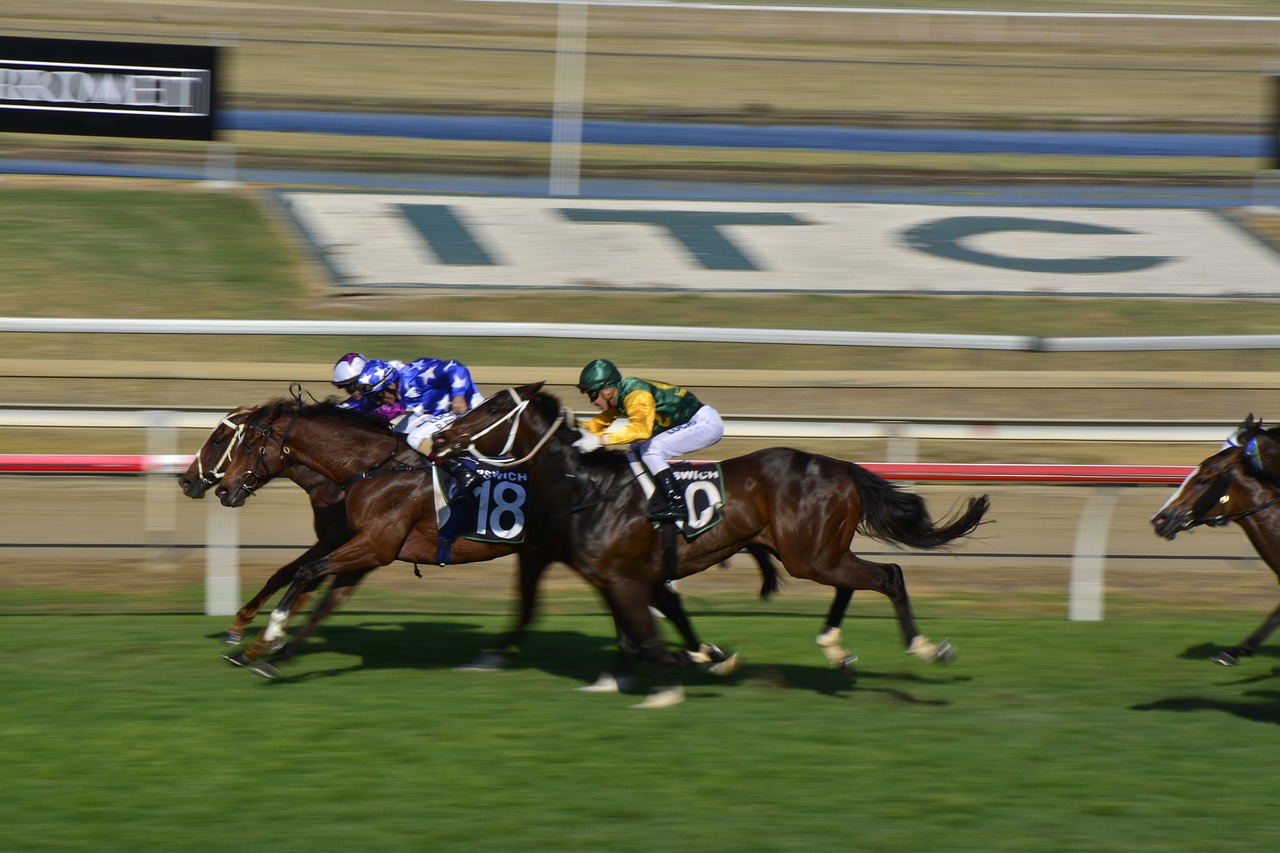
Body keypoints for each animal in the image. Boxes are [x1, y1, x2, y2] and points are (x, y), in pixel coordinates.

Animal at [204, 399, 773, 686]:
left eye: (239, 441)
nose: (218, 487)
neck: (373, 466)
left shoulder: (374, 545)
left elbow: (303, 576)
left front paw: (263, 641)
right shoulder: (365, 550)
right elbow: (319, 596)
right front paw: (267, 649)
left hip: (570, 553)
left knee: (645, 597)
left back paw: (690, 654)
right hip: (560, 553)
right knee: (621, 599)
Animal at [435, 381, 993, 701]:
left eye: (490, 410)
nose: (439, 439)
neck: (586, 488)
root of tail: (843, 468)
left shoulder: (624, 578)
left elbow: (646, 638)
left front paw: (686, 669)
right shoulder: (615, 579)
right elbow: (633, 638)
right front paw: (643, 670)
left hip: (810, 555)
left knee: (889, 575)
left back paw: (926, 648)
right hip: (816, 553)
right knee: (854, 581)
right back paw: (835, 650)